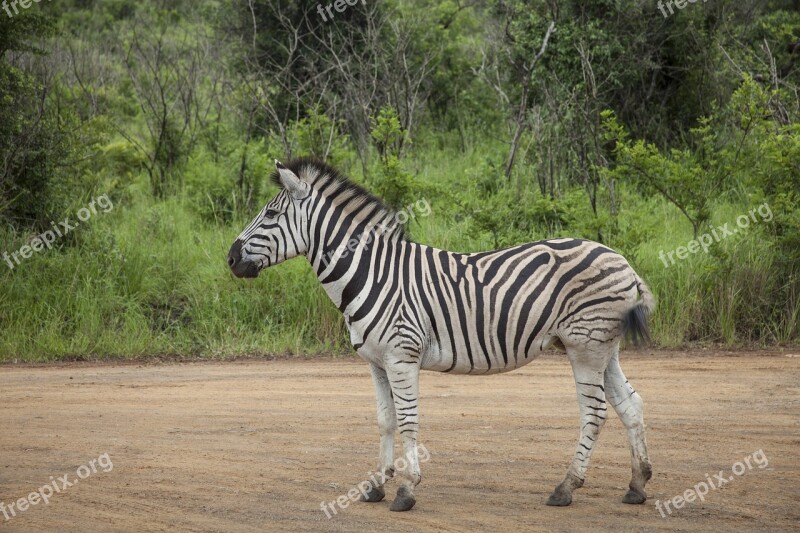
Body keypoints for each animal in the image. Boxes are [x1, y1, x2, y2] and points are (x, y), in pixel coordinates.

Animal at [228, 158, 652, 512]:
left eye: (271, 213)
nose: (230, 259)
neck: (372, 273)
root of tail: (623, 262)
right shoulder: (376, 363)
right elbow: (385, 420)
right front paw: (377, 485)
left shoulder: (402, 356)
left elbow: (408, 420)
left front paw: (406, 490)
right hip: (603, 347)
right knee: (629, 404)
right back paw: (637, 485)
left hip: (585, 345)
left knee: (594, 412)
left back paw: (566, 488)